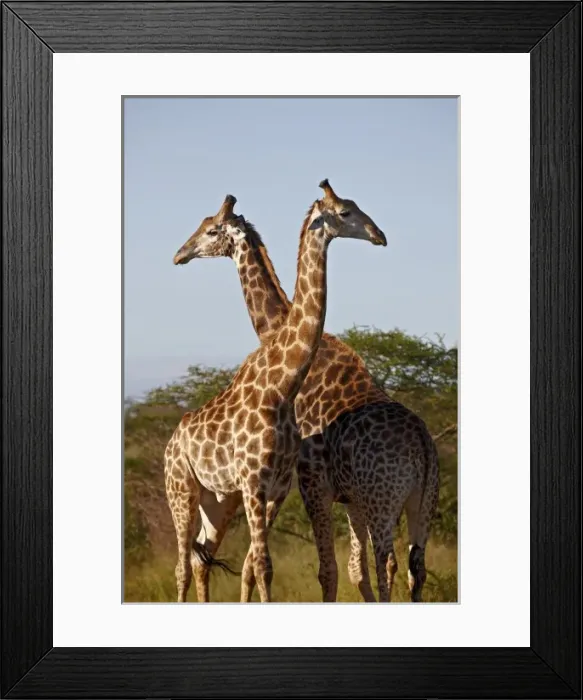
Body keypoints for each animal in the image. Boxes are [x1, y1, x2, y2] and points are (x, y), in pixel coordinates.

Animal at [175, 180, 439, 603]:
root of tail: (424, 444)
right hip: (422, 501)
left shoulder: (311, 480)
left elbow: (328, 570)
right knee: (414, 566)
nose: (180, 254)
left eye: (211, 230)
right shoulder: (344, 496)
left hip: (384, 499)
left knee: (388, 562)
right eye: (348, 210)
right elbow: (353, 570)